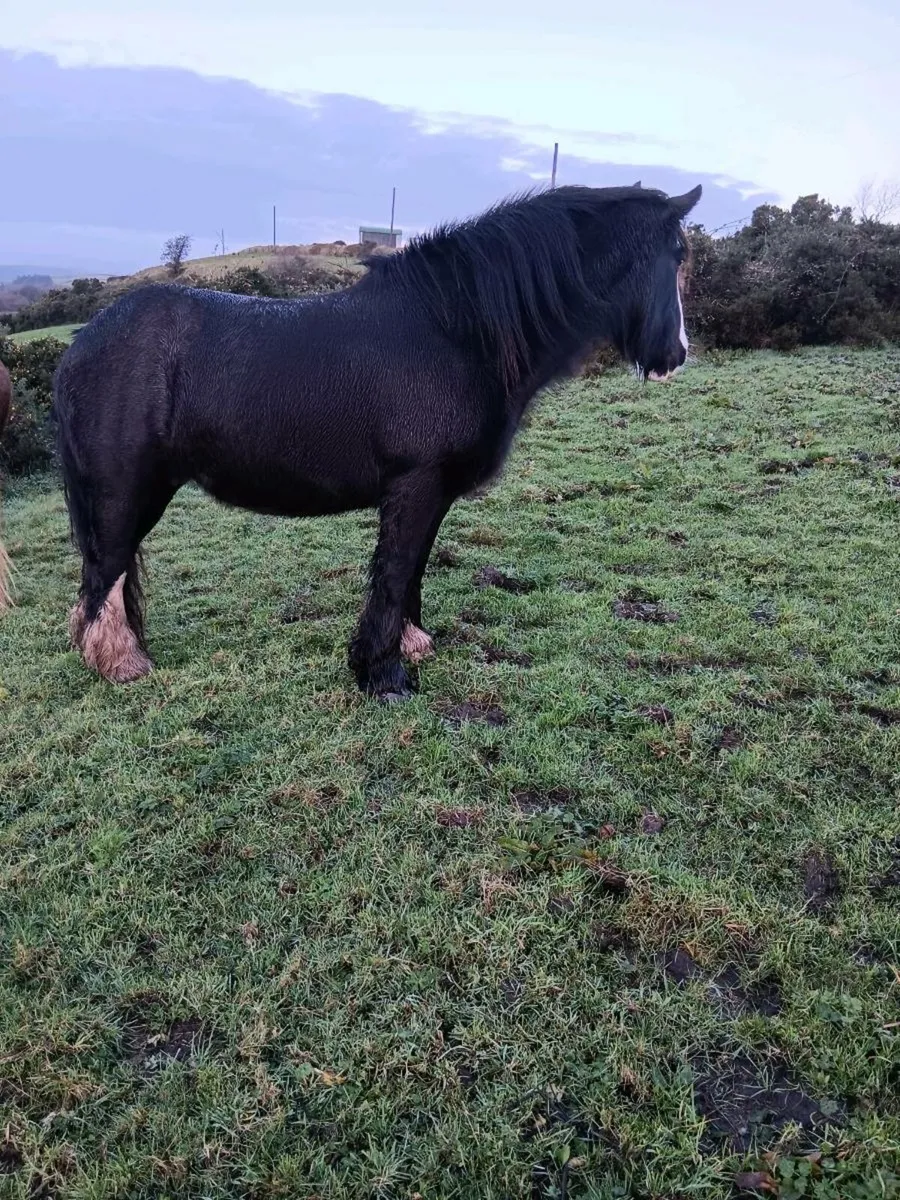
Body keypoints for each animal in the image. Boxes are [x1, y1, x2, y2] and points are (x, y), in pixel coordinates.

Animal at [54, 182, 701, 700]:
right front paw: (384, 676)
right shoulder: (415, 485)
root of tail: (80, 346)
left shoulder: (431, 491)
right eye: (676, 255)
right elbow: (393, 573)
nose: (675, 358)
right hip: (125, 493)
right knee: (105, 573)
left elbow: (412, 570)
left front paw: (410, 647)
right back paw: (122, 665)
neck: (455, 331)